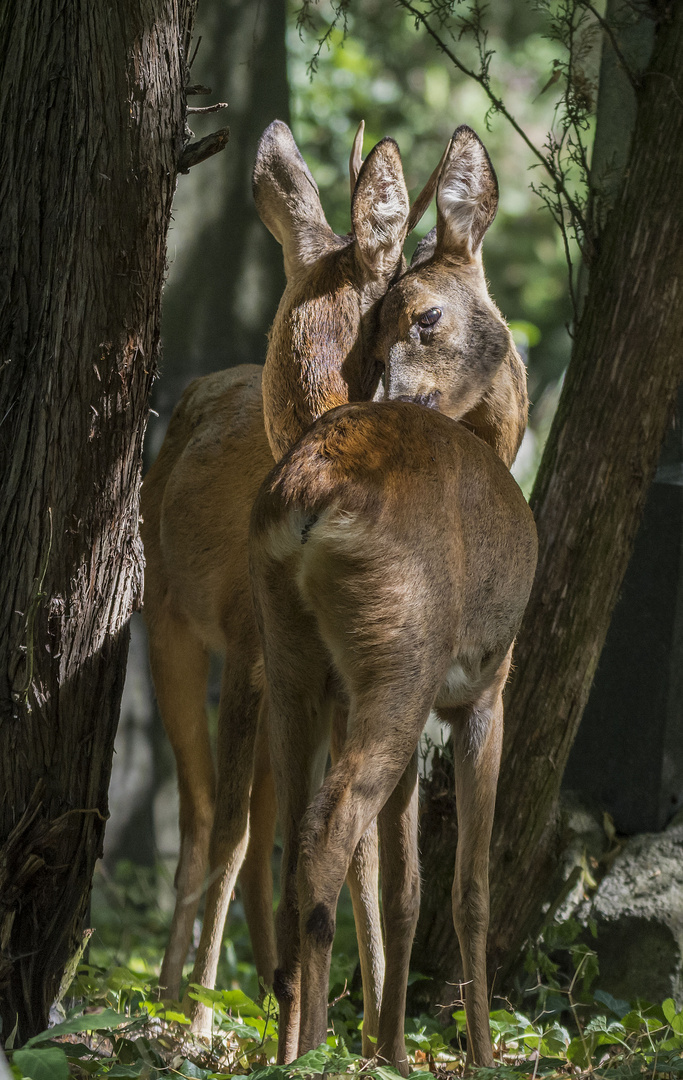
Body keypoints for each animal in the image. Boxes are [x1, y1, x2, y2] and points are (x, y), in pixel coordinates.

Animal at [141, 118, 445, 1036]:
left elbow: (352, 853)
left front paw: (365, 1023)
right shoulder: (247, 645)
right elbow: (238, 827)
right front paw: (203, 1020)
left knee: (259, 816)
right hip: (163, 619)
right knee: (206, 815)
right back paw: (175, 997)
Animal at [250, 126, 538, 1071]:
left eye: (421, 318)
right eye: (387, 325)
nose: (387, 389)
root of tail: (309, 497)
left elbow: (405, 886)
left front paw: (393, 1048)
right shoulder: (484, 685)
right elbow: (470, 887)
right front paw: (477, 1053)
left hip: (298, 659)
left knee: (292, 842)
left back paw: (298, 1045)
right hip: (399, 650)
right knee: (326, 830)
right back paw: (310, 1054)